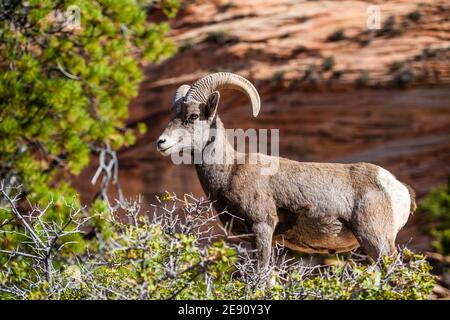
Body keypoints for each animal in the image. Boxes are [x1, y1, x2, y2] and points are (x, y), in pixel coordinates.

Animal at [156, 72, 416, 270]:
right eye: (172, 116)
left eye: (192, 116)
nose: (161, 142)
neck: (229, 172)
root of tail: (397, 188)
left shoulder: (262, 227)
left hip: (377, 241)